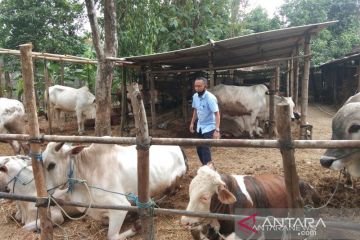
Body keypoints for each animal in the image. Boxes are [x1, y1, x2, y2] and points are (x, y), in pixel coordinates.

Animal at [41, 142, 188, 240]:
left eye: (51, 165)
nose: (45, 191)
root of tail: (178, 147)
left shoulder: (120, 205)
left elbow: (111, 235)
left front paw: (136, 226)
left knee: (171, 191)